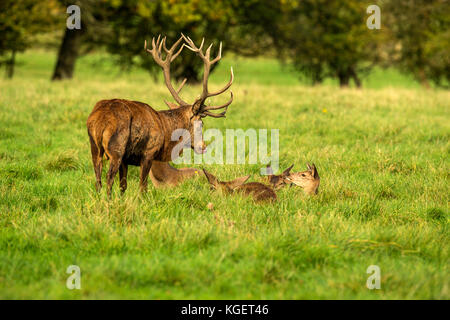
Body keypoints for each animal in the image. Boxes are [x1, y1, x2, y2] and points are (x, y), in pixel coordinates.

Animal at [86, 34, 234, 195]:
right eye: (201, 123)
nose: (203, 146)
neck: (166, 133)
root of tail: (101, 120)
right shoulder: (148, 153)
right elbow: (143, 187)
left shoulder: (126, 159)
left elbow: (123, 186)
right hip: (116, 148)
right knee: (108, 177)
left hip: (94, 147)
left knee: (98, 177)